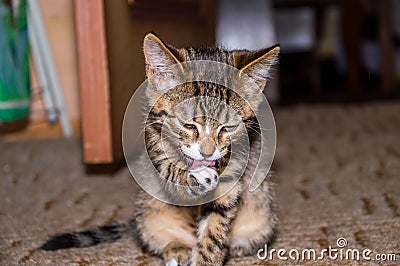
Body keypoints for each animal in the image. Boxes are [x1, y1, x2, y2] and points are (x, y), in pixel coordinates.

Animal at [40, 33, 278, 266]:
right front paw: (194, 176)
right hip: (148, 214)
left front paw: (207, 258)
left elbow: (215, 229)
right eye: (188, 125)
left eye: (228, 128)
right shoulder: (154, 144)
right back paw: (177, 249)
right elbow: (169, 174)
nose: (207, 152)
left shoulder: (236, 169)